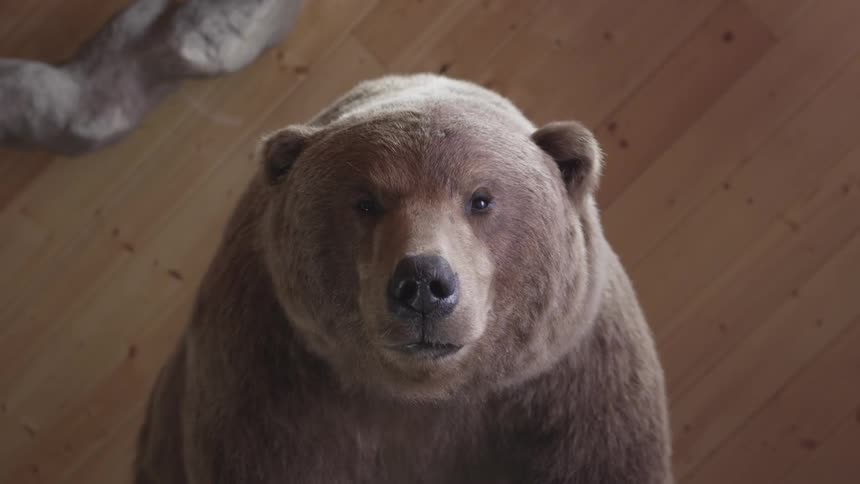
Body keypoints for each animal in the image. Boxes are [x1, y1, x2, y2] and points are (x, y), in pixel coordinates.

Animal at [134, 73, 672, 484]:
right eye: (365, 201)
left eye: (480, 198)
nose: (423, 283)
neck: (422, 398)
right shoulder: (268, 386)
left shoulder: (569, 389)